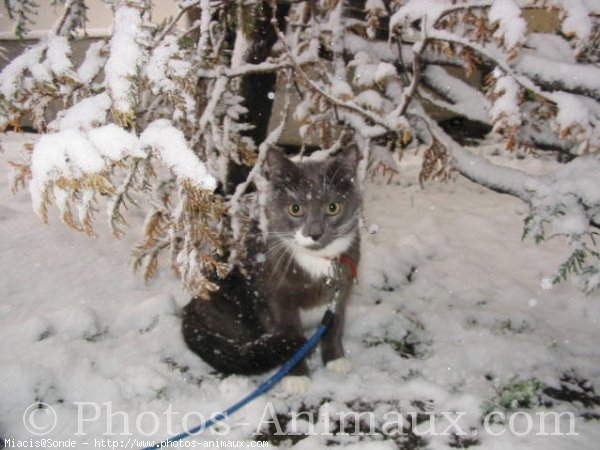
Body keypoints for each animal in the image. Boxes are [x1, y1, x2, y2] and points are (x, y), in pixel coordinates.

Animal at [182, 145, 360, 394]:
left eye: (333, 207)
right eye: (295, 209)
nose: (314, 233)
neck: (317, 262)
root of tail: (190, 307)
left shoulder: (341, 291)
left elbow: (335, 325)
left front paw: (336, 360)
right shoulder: (275, 297)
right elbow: (287, 331)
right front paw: (297, 375)